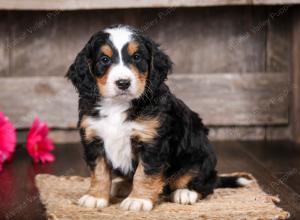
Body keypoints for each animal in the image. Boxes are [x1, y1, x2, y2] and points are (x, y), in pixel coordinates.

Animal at [67, 24, 252, 211]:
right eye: (104, 59)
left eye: (137, 57)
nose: (123, 83)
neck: (118, 105)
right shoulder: (93, 137)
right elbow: (99, 171)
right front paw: (95, 196)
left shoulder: (153, 141)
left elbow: (144, 173)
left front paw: (138, 200)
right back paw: (121, 186)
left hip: (200, 156)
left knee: (204, 183)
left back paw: (185, 192)